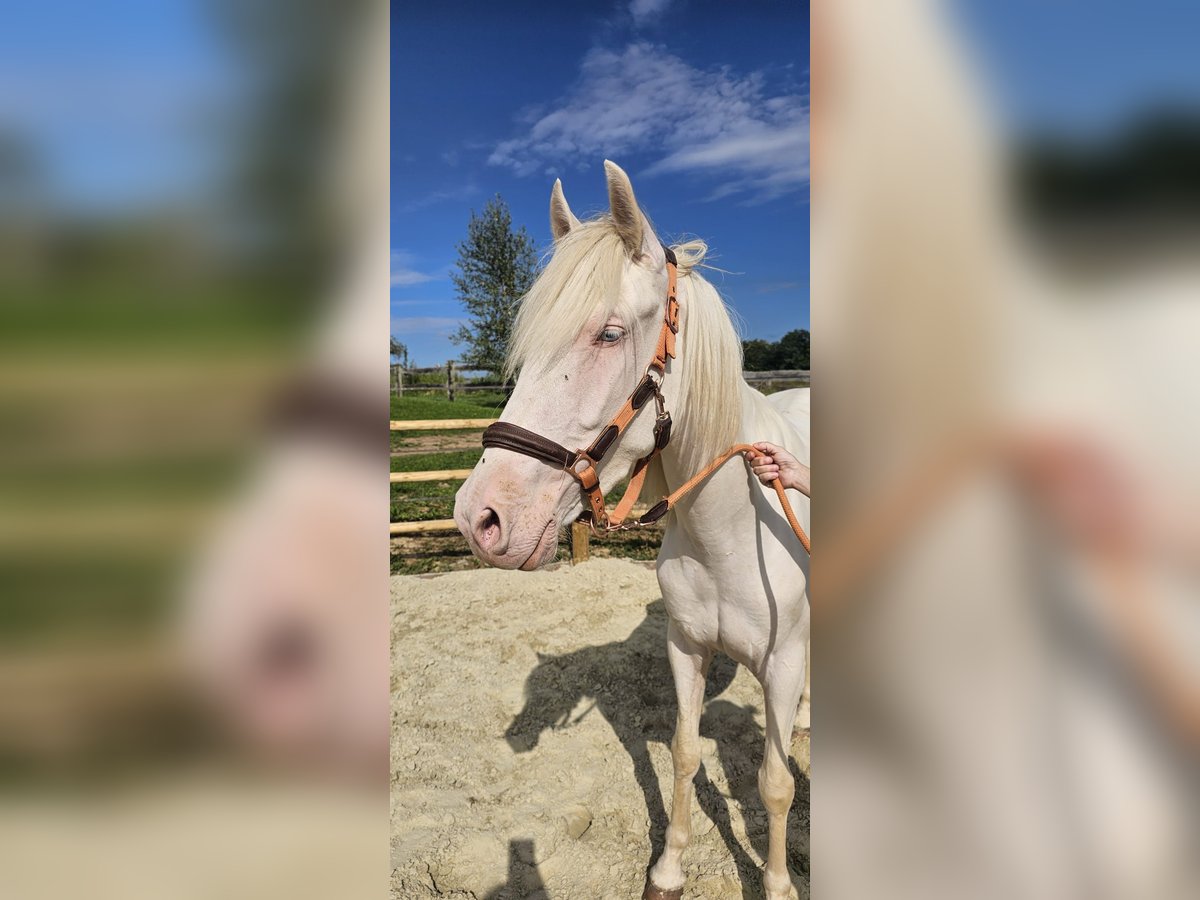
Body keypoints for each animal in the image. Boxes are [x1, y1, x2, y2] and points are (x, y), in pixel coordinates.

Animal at [453, 162, 811, 900]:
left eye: (610, 334)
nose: (481, 518)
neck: (728, 536)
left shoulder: (783, 666)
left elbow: (775, 783)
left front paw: (779, 884)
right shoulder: (686, 648)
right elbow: (683, 756)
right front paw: (667, 871)